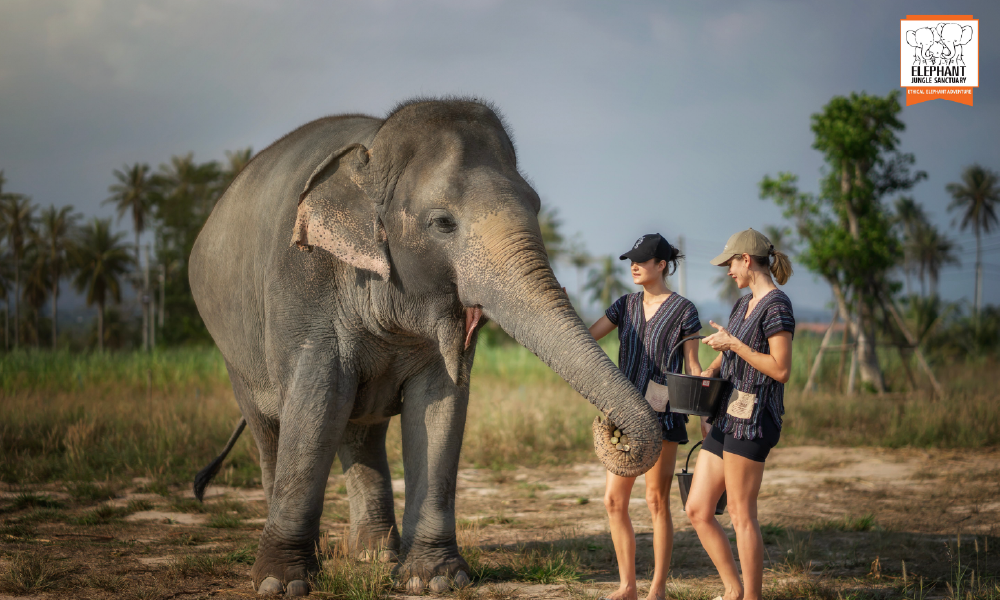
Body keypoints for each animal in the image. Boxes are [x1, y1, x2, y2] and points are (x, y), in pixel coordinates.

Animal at [188, 98, 661, 596]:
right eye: (442, 223)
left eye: (535, 205)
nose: (613, 427)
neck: (372, 153)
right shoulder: (302, 288)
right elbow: (316, 405)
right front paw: (282, 585)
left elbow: (440, 405)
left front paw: (435, 580)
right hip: (234, 350)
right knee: (272, 431)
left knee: (360, 430)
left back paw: (376, 556)